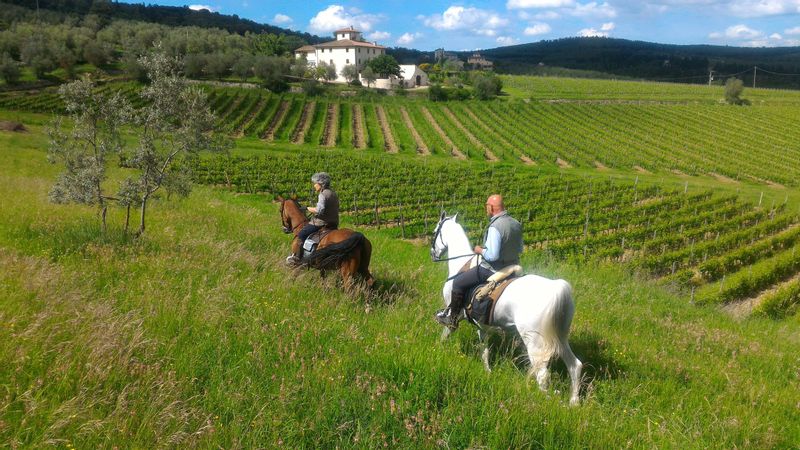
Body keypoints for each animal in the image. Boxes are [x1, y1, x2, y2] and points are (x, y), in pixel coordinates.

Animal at [432, 213, 580, 406]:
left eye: (435, 231)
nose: (433, 254)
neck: (461, 266)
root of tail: (556, 288)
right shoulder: (482, 325)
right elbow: (484, 349)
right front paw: (487, 371)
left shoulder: (454, 314)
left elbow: (445, 333)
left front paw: (437, 350)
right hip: (560, 337)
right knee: (575, 366)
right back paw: (574, 402)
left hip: (535, 343)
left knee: (542, 375)